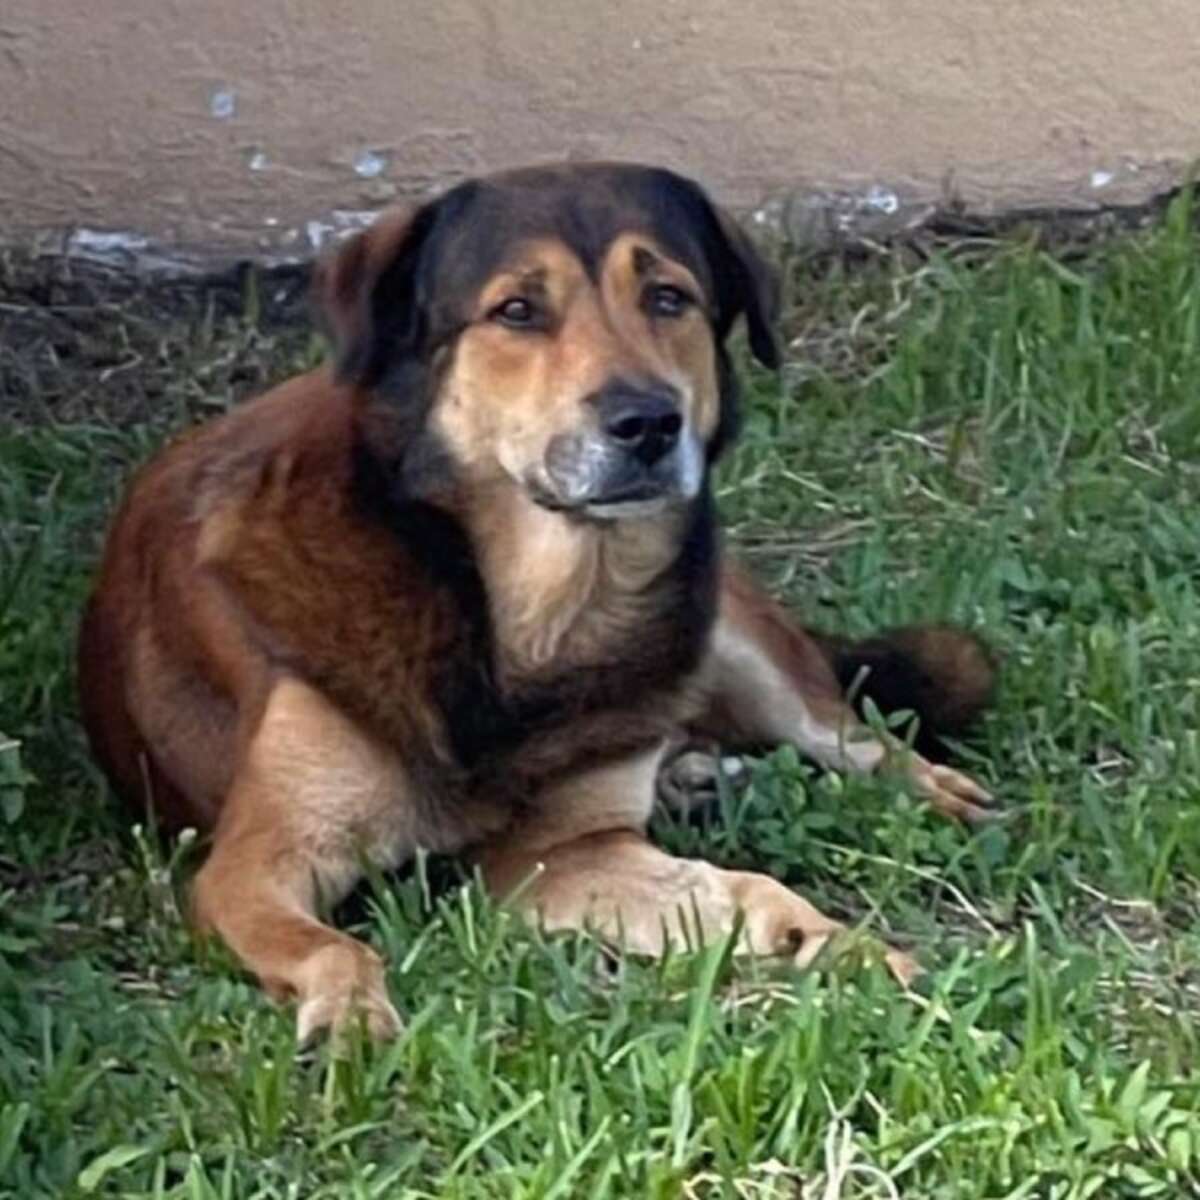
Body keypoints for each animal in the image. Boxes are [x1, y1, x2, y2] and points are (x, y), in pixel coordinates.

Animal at [77, 162, 993, 1041]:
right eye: (517, 311)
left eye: (669, 297)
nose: (647, 423)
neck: (523, 618)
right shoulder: (252, 869)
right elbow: (336, 948)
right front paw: (350, 1020)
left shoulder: (566, 852)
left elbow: (753, 892)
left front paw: (846, 947)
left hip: (725, 631)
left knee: (846, 732)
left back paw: (922, 789)